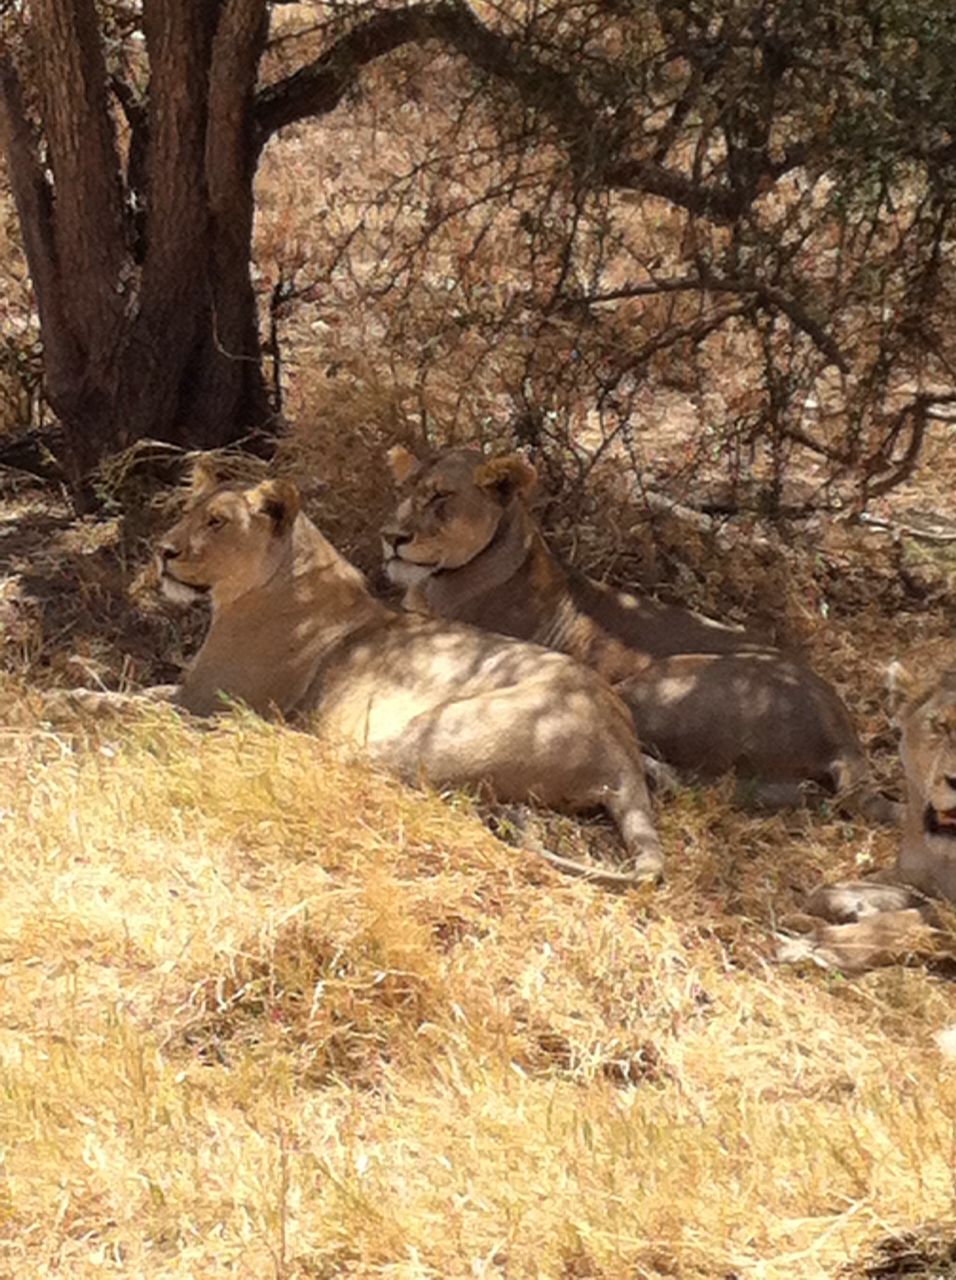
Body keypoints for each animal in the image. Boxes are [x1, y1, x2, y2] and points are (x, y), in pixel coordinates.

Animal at [145, 467, 664, 889]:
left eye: (217, 522)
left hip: (439, 730)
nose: (163, 551)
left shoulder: (202, 698)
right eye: (187, 512)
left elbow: (134, 700)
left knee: (352, 761)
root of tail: (620, 744)